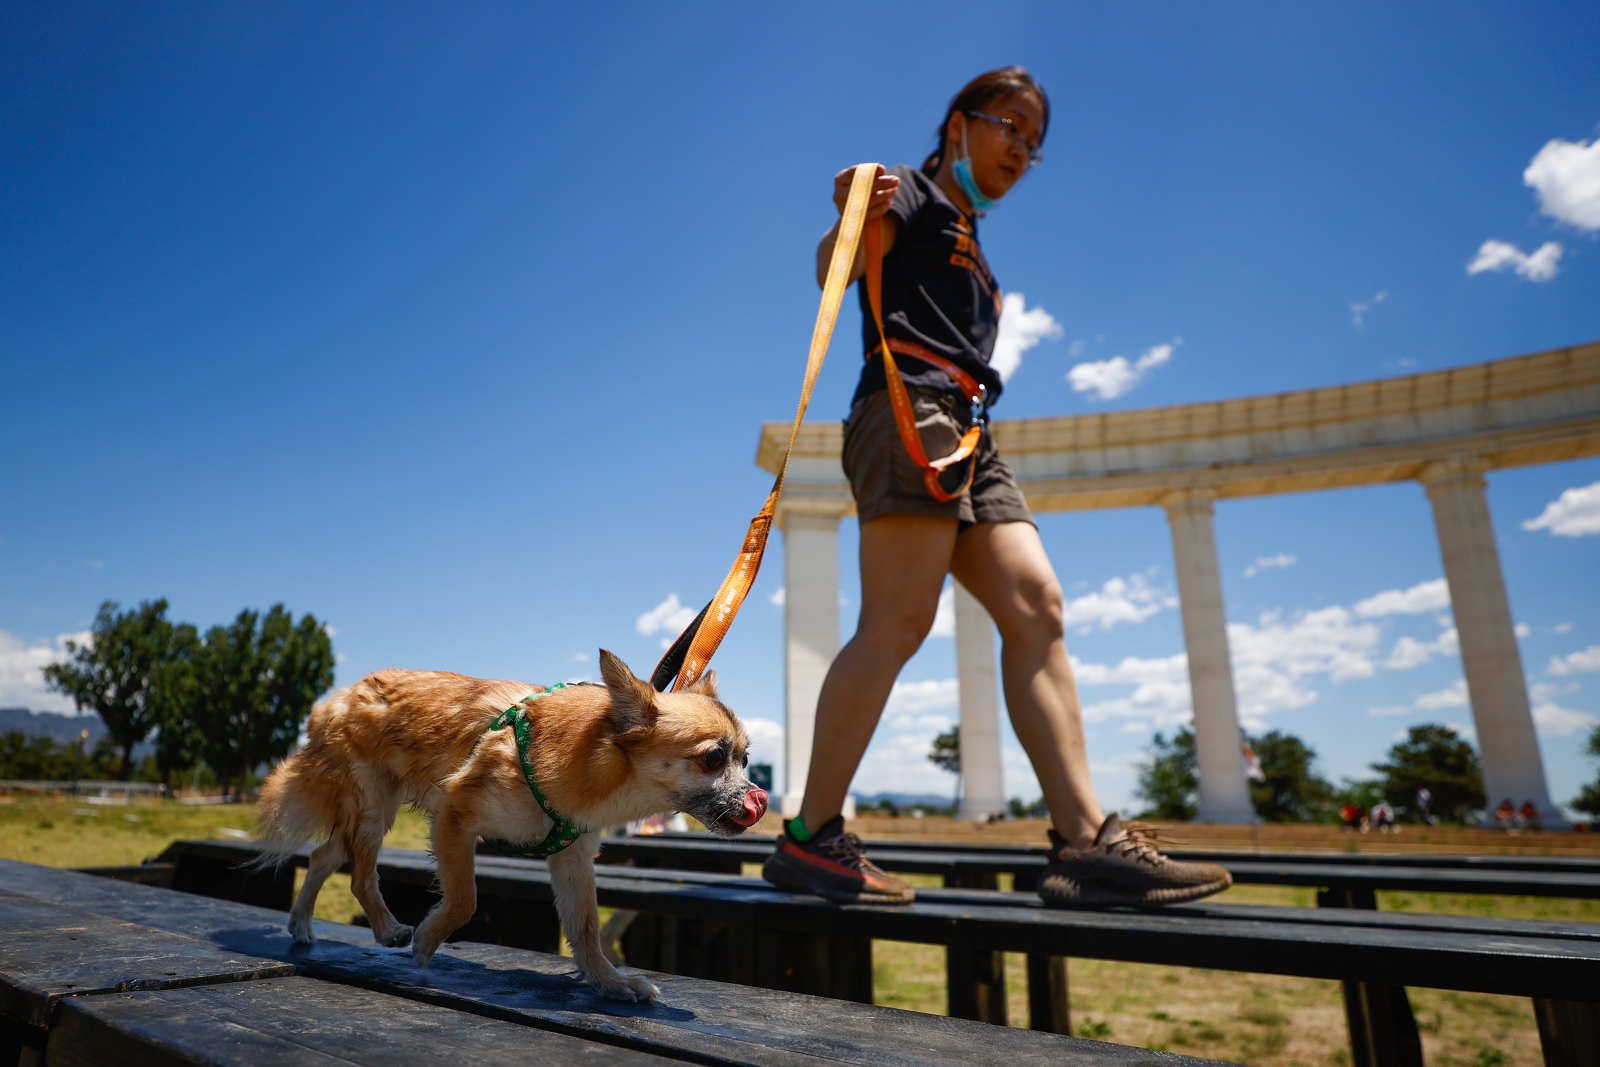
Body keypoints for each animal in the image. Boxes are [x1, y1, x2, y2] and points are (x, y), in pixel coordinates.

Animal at [257, 652, 768, 1004]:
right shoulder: (454, 816)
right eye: (713, 758)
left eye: (745, 760)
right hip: (372, 806)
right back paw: (388, 930)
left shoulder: (573, 855)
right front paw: (427, 940)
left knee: (324, 856)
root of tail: (338, 698)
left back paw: (301, 924)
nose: (760, 799)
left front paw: (608, 981)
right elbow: (464, 899)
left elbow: (585, 927)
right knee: (362, 877)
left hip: (371, 813)